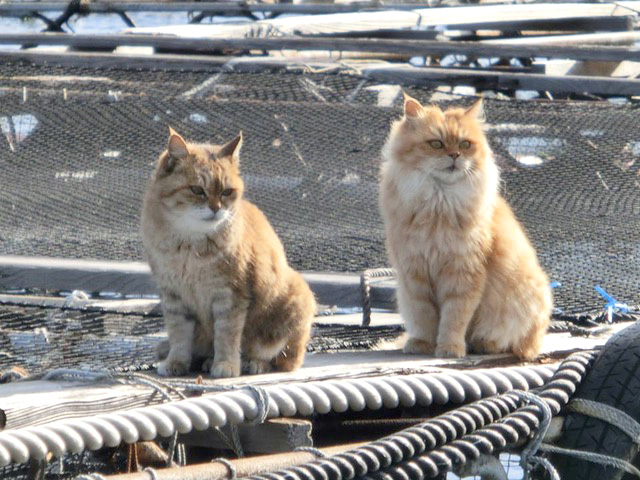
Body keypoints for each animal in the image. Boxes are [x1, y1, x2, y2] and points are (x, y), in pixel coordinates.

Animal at [142, 128, 318, 378]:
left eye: (226, 192)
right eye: (197, 190)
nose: (216, 209)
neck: (189, 245)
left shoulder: (230, 295)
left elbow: (227, 336)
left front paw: (226, 364)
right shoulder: (173, 296)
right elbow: (179, 335)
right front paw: (176, 361)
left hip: (294, 302)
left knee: (283, 361)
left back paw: (251, 362)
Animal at [380, 94, 552, 360]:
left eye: (464, 144)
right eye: (437, 144)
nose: (455, 155)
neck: (439, 202)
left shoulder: (463, 273)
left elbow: (454, 318)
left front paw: (449, 349)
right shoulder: (414, 273)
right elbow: (424, 317)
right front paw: (423, 344)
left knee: (516, 343)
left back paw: (484, 344)